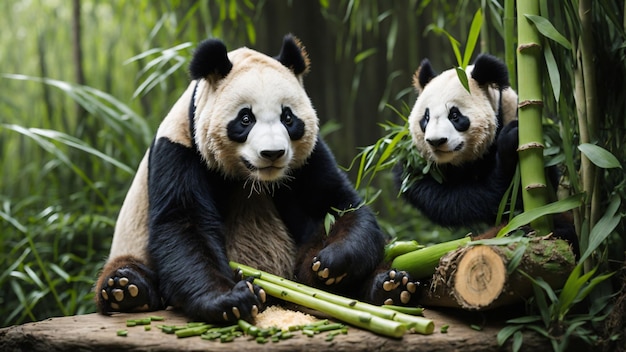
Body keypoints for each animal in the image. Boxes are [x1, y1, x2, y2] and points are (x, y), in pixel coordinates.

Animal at [95, 34, 416, 324]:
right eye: (246, 118)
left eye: (288, 118)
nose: (272, 153)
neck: (250, 178)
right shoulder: (179, 150)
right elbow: (184, 226)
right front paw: (231, 299)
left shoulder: (307, 159)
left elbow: (337, 203)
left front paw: (332, 262)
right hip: (131, 243)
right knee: (124, 269)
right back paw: (128, 290)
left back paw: (389, 286)